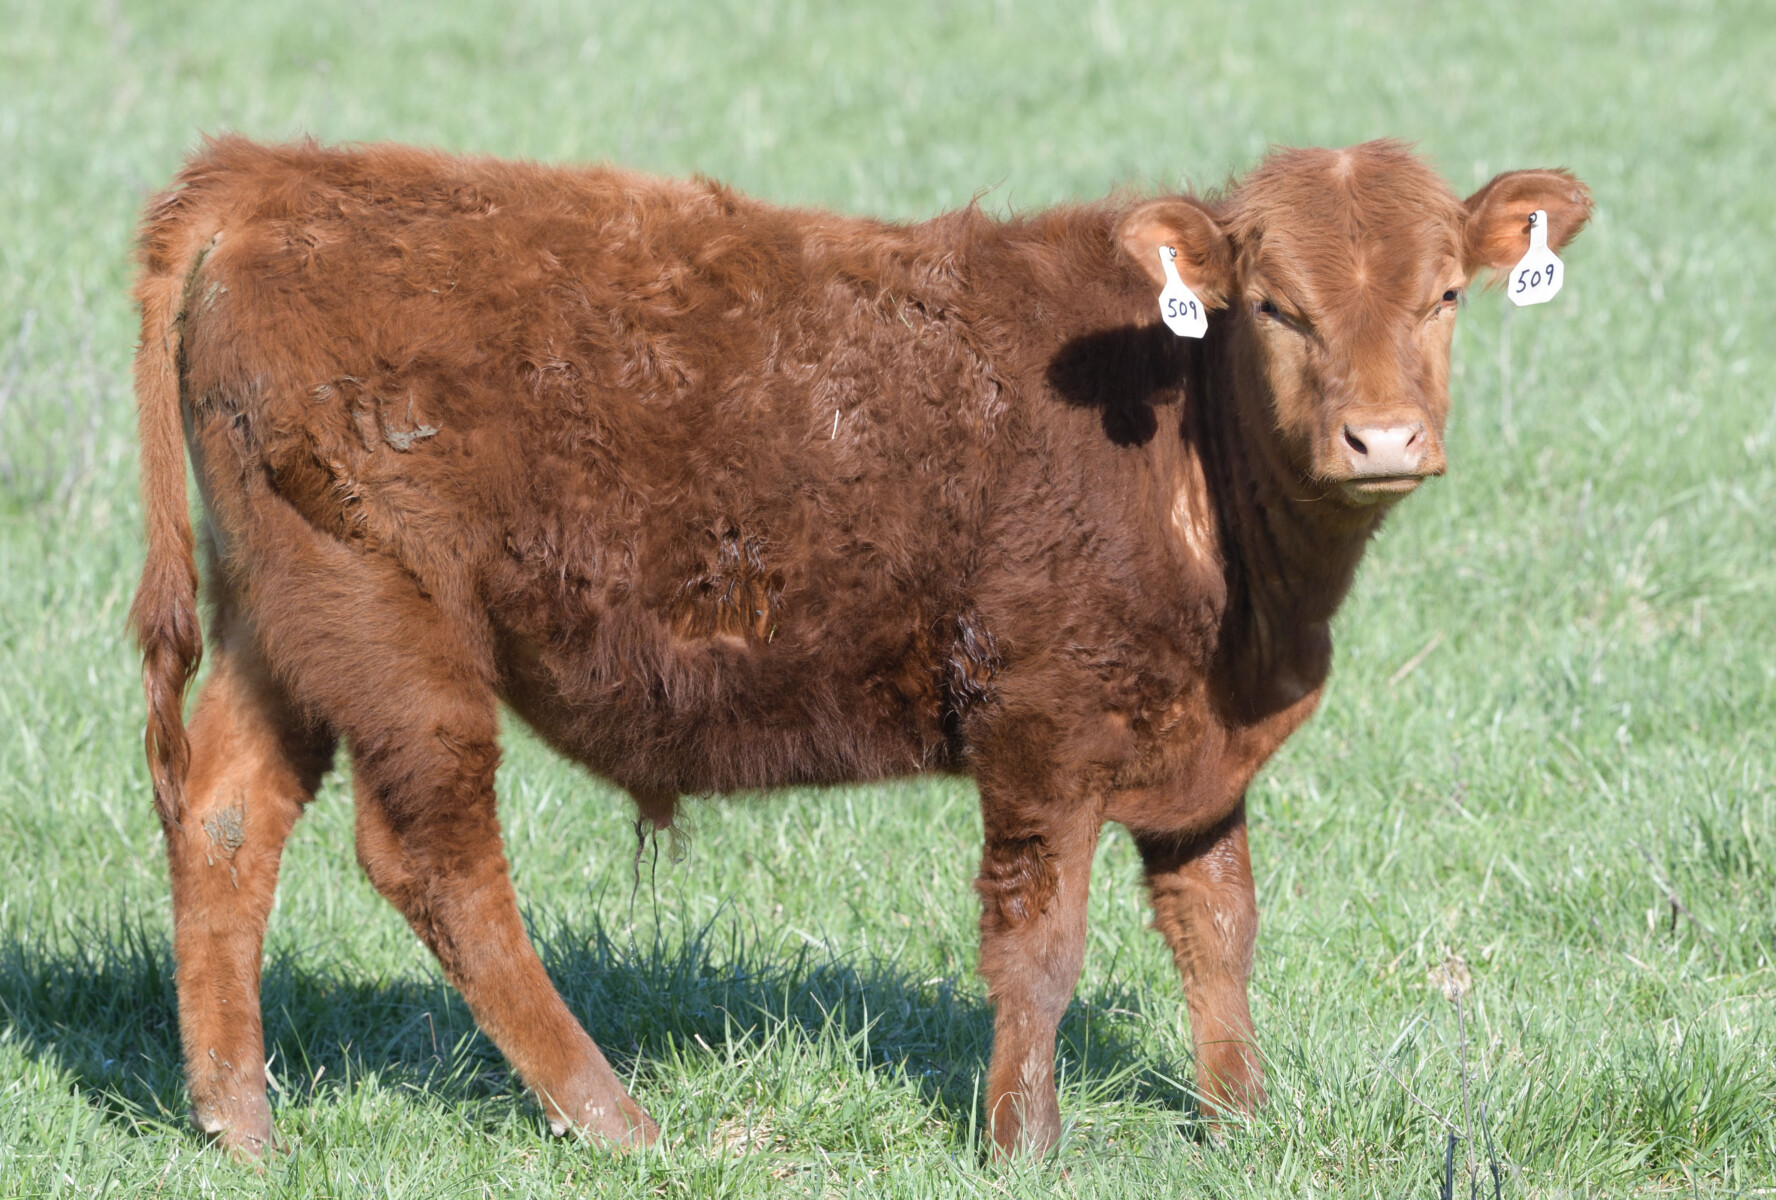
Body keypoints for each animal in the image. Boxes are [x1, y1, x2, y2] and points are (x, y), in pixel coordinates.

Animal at [128, 135, 1591, 1159]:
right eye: (1278, 308)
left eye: (1445, 295)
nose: (1382, 439)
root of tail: (269, 176)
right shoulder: (1042, 727)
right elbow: (1039, 944)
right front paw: (1025, 1142)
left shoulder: (1197, 757)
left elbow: (1216, 926)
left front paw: (1242, 1123)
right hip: (393, 630)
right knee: (436, 859)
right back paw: (611, 1118)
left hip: (285, 622)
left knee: (225, 820)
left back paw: (238, 1121)